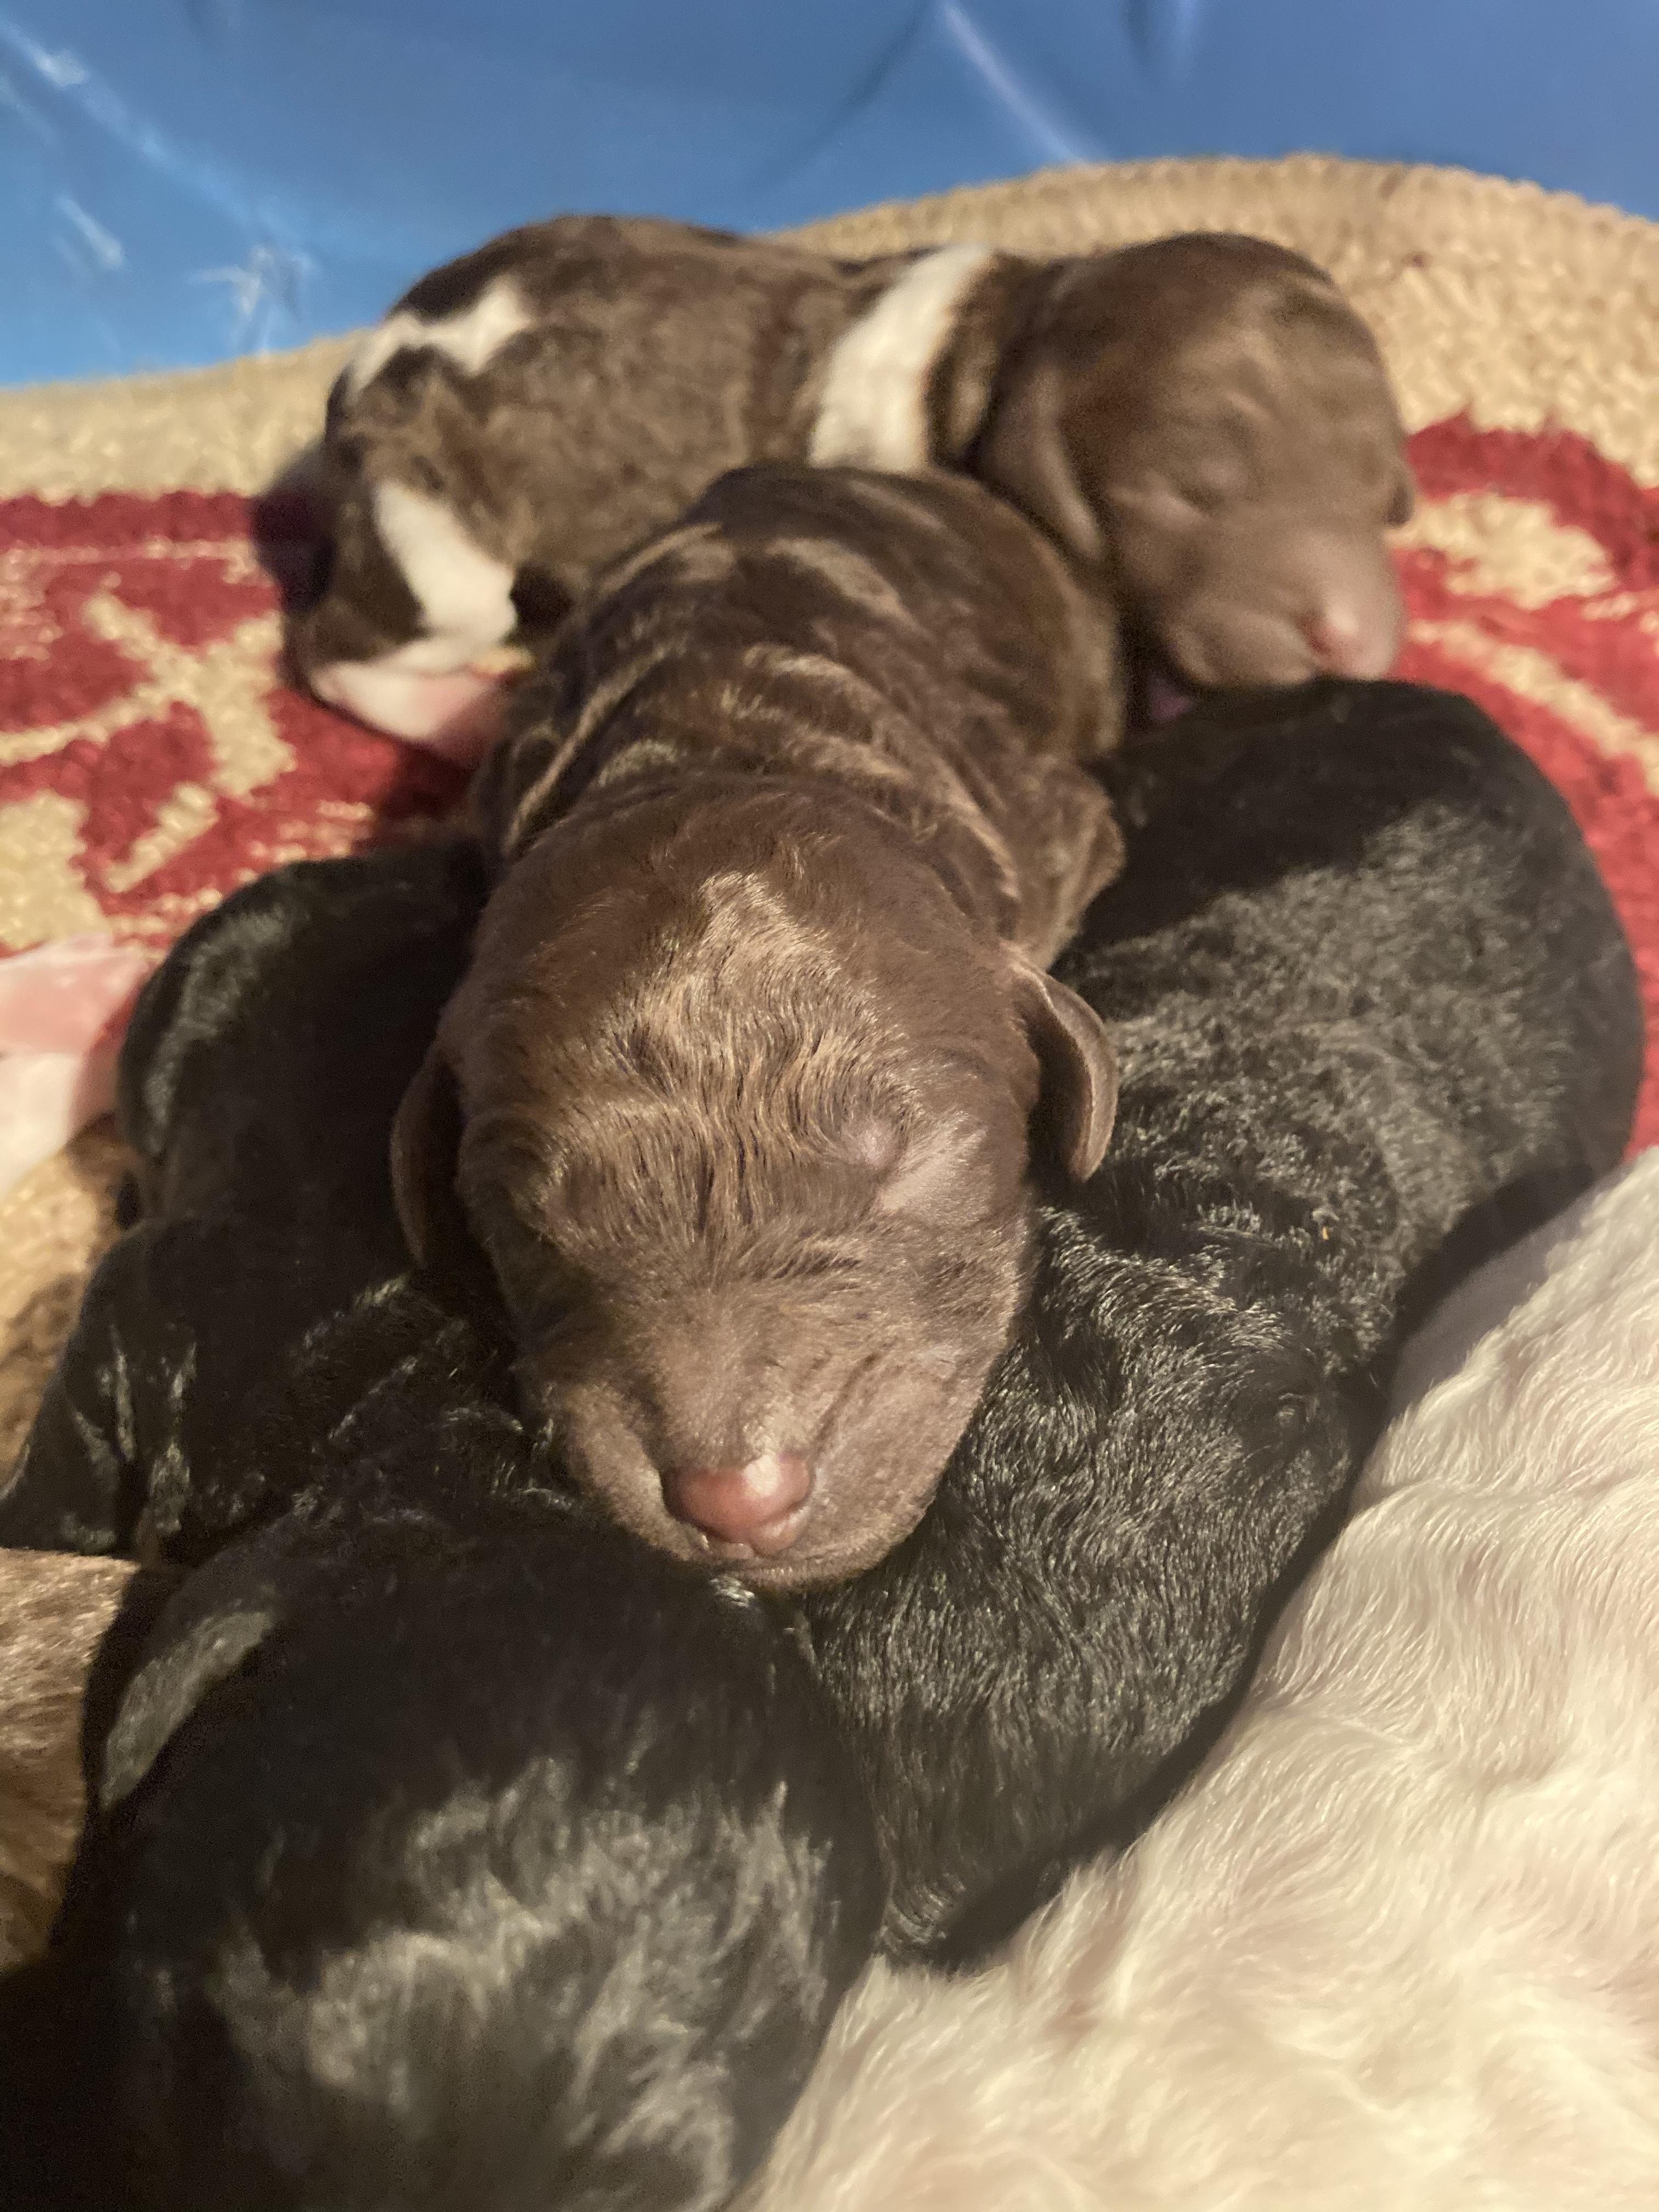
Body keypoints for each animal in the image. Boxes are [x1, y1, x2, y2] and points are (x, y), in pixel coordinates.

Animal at [289, 216, 1412, 744]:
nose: (1351, 641)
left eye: (1383, 493)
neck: (1000, 338)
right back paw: (460, 716)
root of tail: (368, 362)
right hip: (436, 542)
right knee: (335, 656)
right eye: (1183, 495)